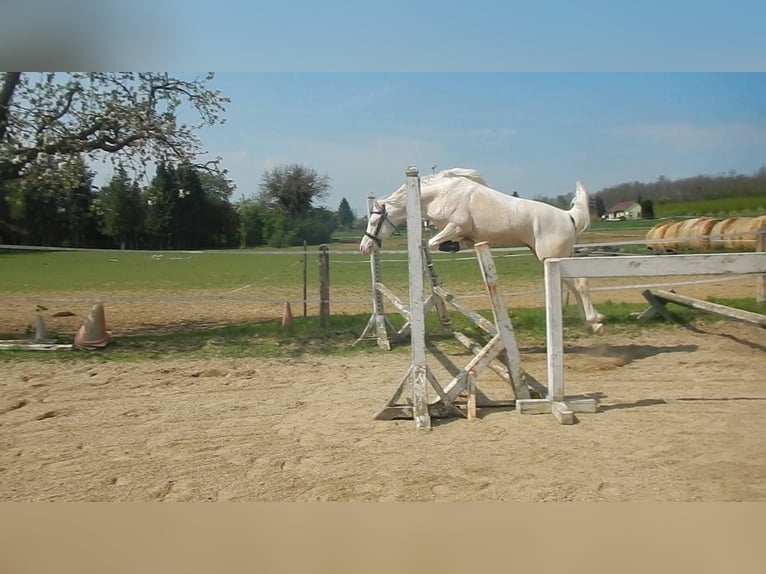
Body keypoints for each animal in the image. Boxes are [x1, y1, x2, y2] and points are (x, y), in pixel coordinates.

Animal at [360, 169, 608, 336]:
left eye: (373, 221)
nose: (364, 248)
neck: (439, 194)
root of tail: (568, 216)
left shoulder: (455, 225)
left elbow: (432, 243)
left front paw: (453, 245)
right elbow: (443, 243)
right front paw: (463, 244)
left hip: (551, 256)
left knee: (580, 284)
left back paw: (595, 321)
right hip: (557, 258)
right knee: (574, 285)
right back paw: (589, 323)